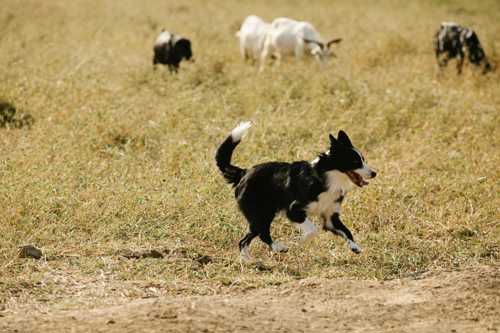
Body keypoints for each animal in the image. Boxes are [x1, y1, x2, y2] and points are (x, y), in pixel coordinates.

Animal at [215, 120, 376, 260]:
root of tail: (244, 172)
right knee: (260, 235)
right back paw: (278, 248)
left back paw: (249, 261)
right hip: (262, 213)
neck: (325, 178)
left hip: (260, 216)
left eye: (363, 159)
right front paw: (298, 241)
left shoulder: (330, 217)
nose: (374, 173)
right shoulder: (293, 210)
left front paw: (354, 246)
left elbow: (347, 231)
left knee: (246, 239)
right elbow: (312, 230)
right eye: (355, 162)